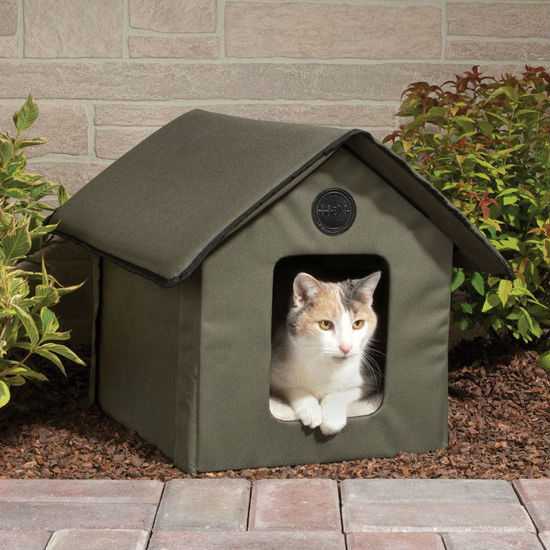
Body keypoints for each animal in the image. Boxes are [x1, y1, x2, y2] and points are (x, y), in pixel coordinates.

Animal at [270, 270, 381, 436]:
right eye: (325, 324)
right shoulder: (275, 373)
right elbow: (293, 388)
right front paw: (311, 410)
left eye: (358, 324)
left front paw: (332, 420)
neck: (326, 366)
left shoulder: (369, 381)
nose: (346, 347)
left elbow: (343, 392)